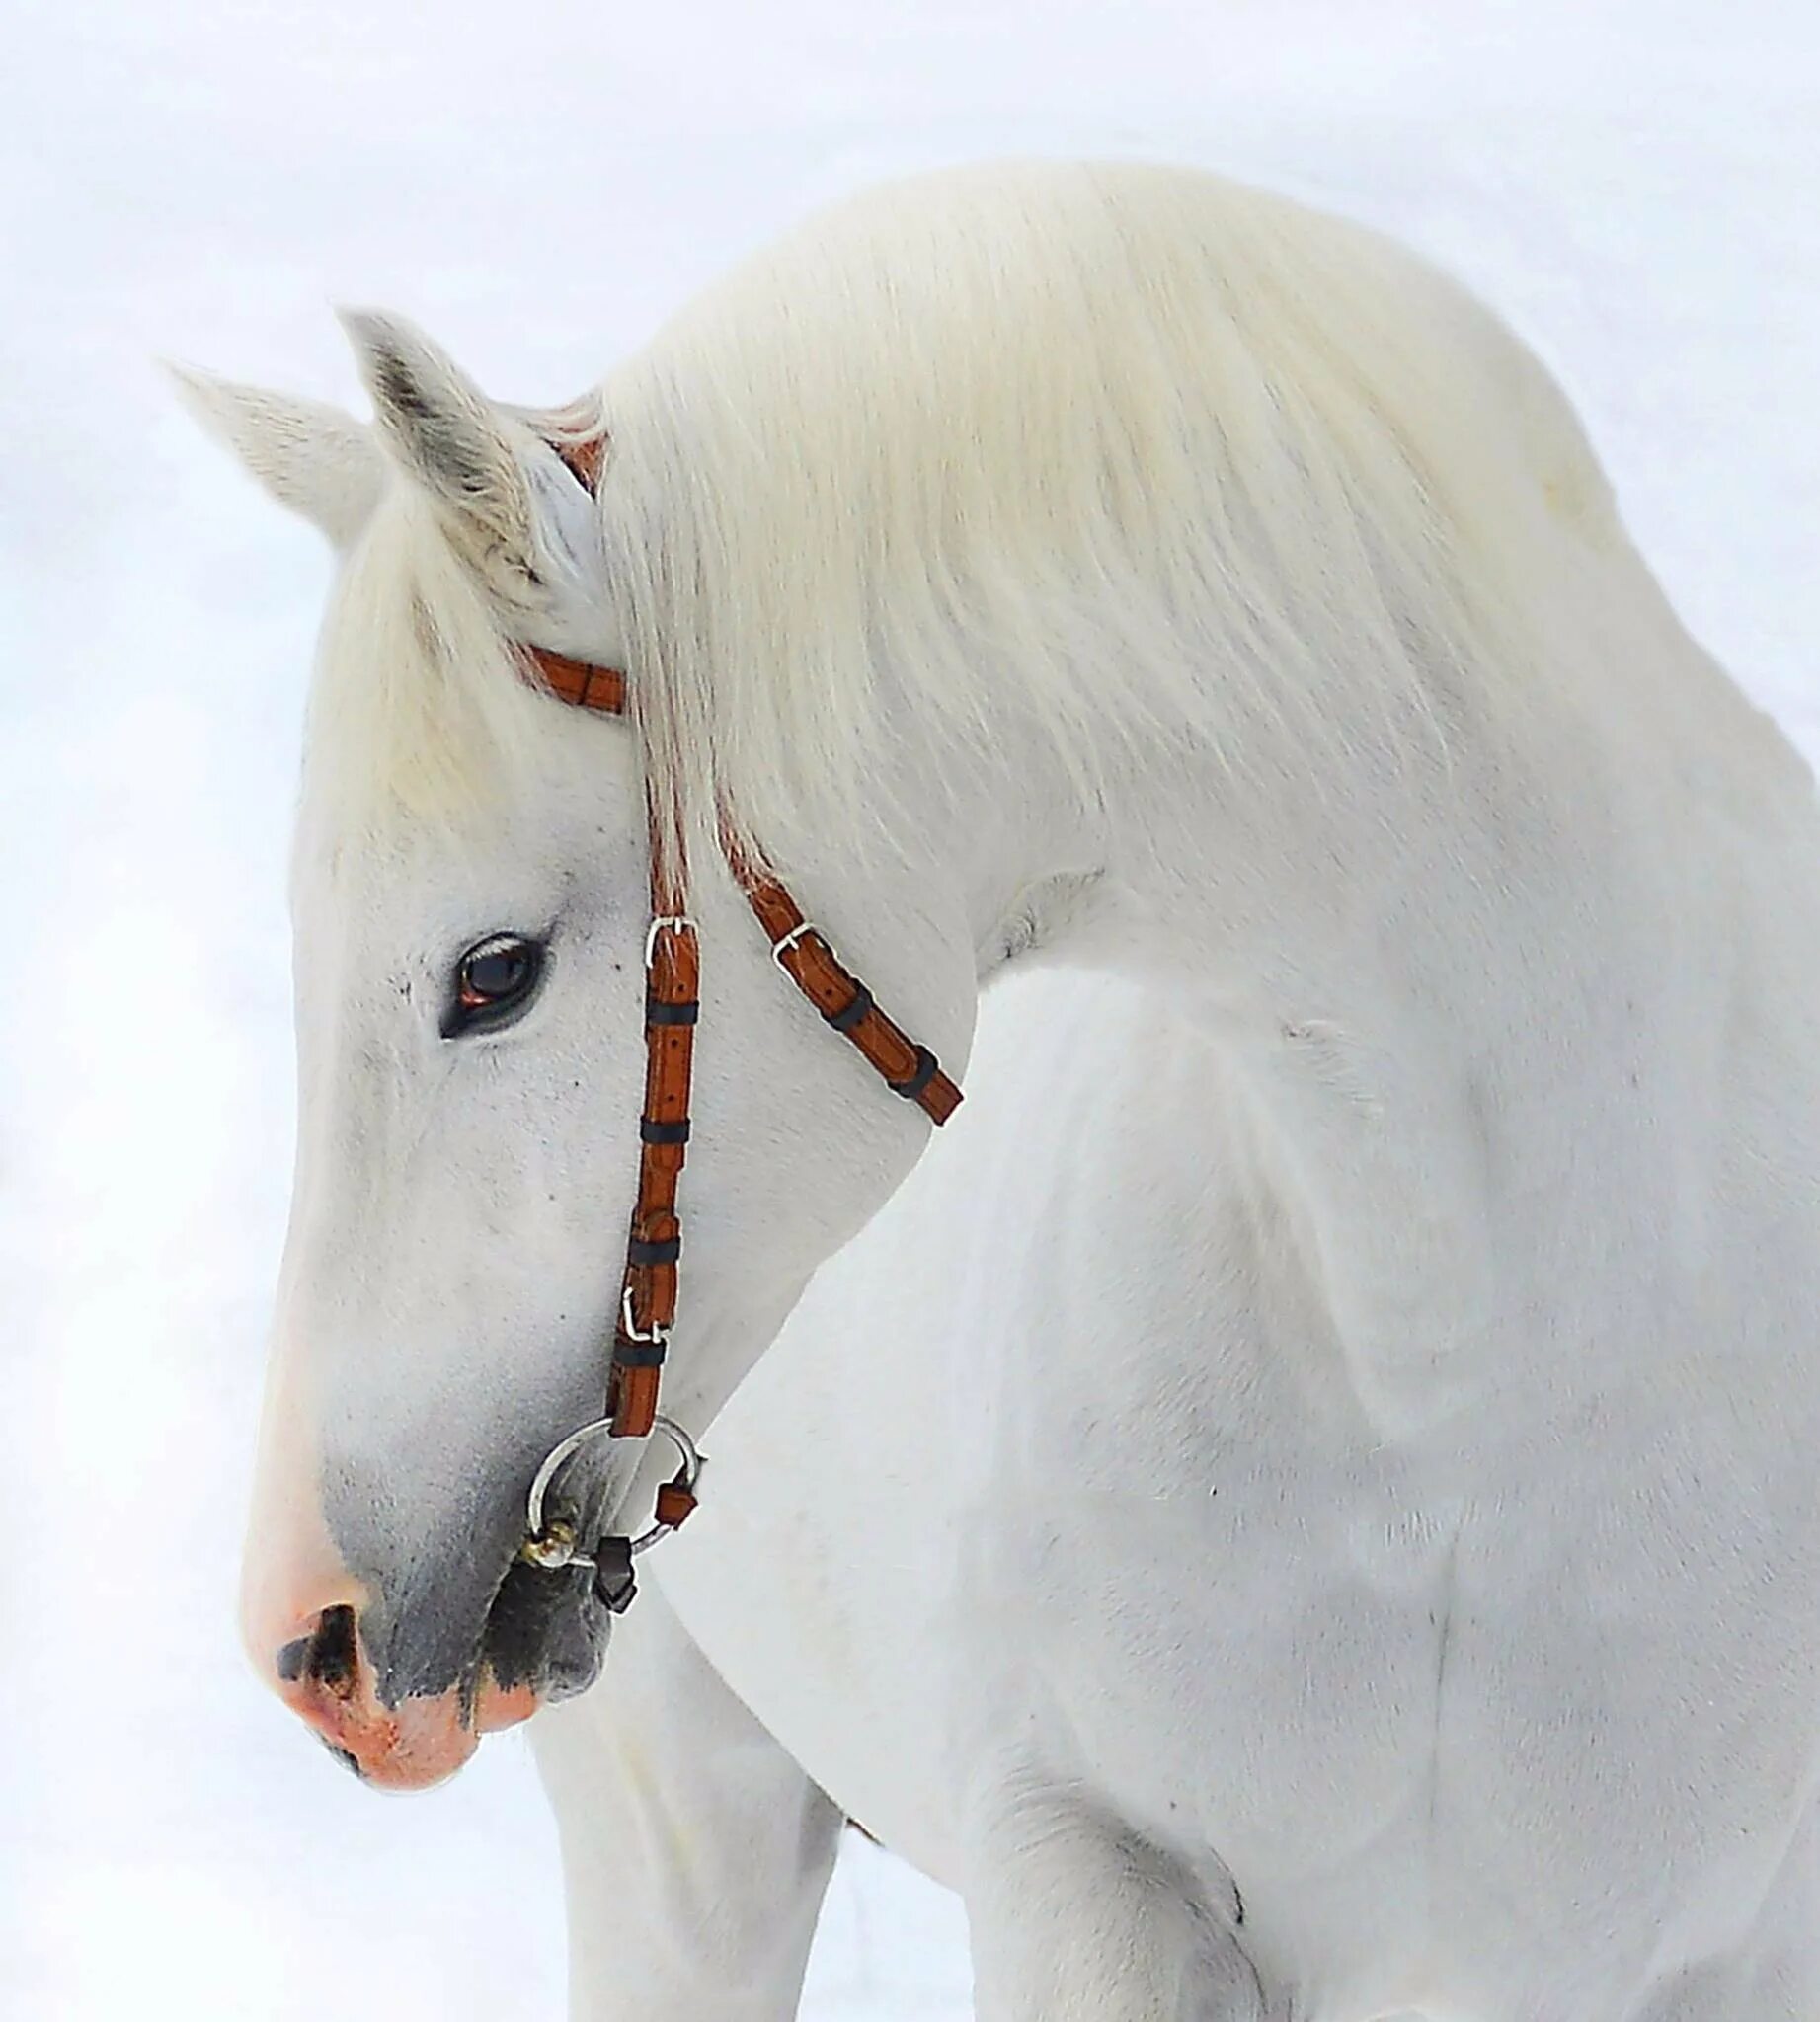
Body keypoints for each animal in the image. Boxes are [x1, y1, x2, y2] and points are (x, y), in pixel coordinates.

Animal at [181, 161, 1820, 2022]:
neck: (1461, 1398)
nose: (309, 1627)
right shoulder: (1088, 1871)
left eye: (493, 971)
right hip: (683, 1815)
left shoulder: (1733, 1938)